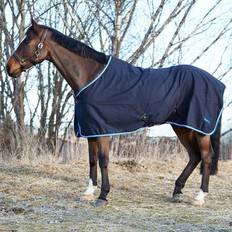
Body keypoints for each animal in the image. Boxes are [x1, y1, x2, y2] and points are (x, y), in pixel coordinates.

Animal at [6, 18, 224, 207]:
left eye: (27, 40)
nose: (9, 67)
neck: (90, 77)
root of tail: (217, 83)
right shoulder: (91, 130)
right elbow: (92, 160)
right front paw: (88, 192)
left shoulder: (102, 130)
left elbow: (103, 161)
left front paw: (103, 196)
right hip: (183, 126)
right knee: (194, 156)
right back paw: (177, 191)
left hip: (199, 129)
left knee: (205, 157)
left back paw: (199, 197)